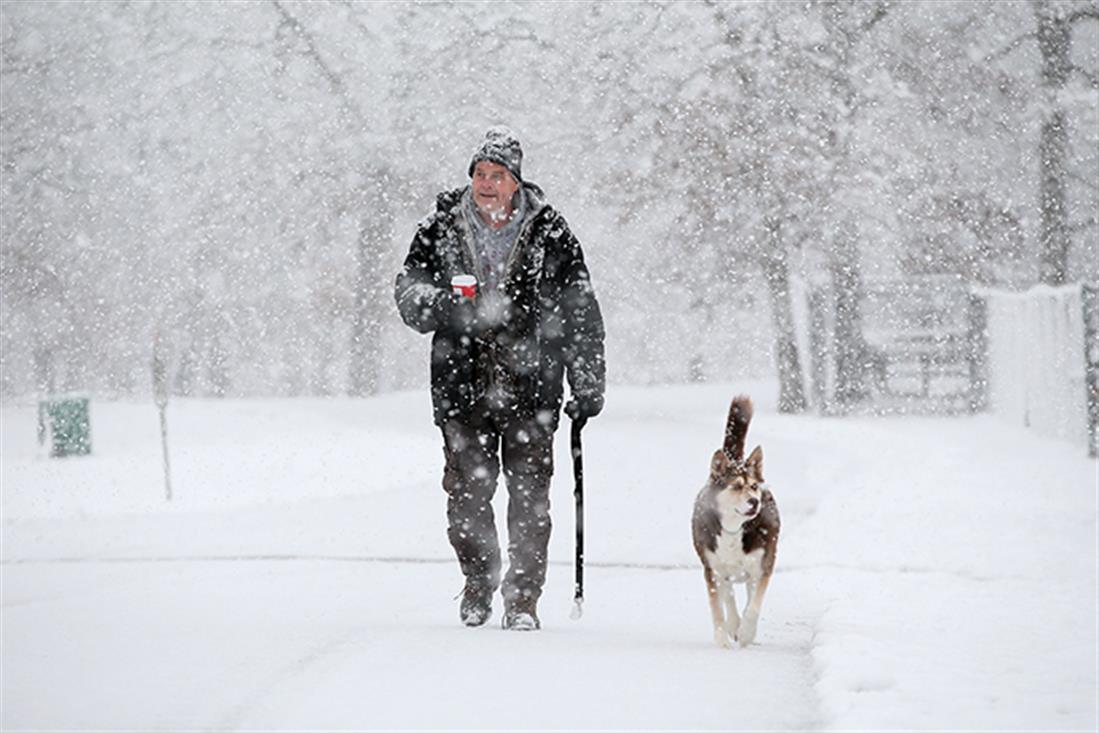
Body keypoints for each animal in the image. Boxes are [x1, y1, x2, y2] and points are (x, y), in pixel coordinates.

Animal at [690, 397, 778, 650]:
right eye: (737, 486)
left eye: (754, 486)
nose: (754, 502)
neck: (734, 528)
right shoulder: (711, 569)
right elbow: (717, 608)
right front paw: (722, 639)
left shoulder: (763, 565)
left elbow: (754, 604)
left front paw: (747, 632)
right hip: (720, 568)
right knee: (728, 594)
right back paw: (733, 625)